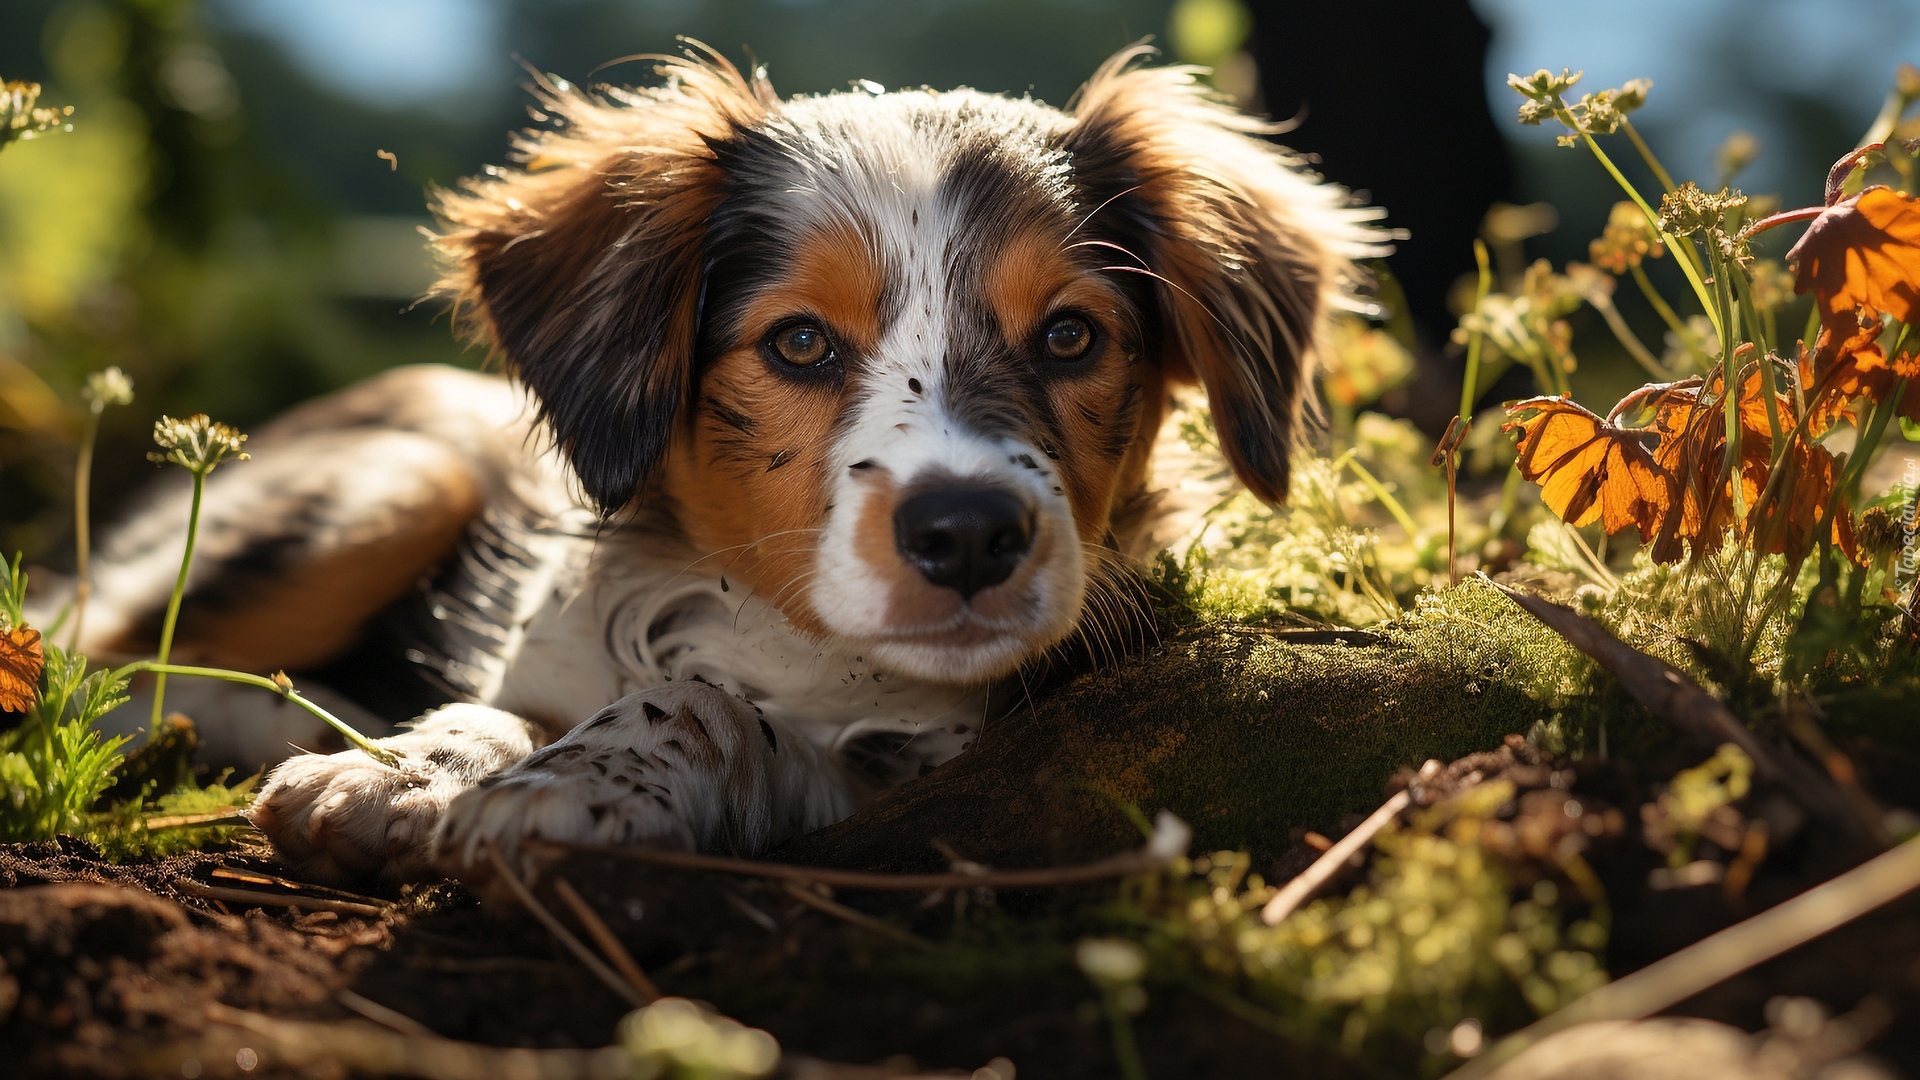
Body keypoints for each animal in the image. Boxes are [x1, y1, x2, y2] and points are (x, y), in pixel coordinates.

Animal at [60, 44, 1390, 883]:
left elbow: (716, 715)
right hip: (387, 487)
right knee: (90, 644)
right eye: (798, 341)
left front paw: (579, 780)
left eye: (1070, 336)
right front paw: (404, 768)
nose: (967, 533)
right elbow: (500, 706)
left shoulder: (913, 772)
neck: (792, 637)